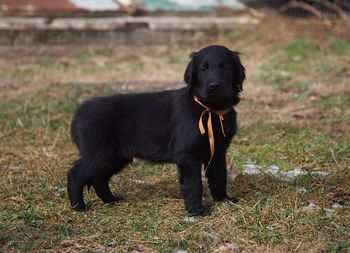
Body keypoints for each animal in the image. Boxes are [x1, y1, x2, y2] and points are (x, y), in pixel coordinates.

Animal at [67, 45, 245, 215]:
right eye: (203, 69)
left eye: (225, 67)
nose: (214, 86)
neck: (211, 109)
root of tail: (79, 112)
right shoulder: (187, 155)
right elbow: (194, 184)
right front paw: (196, 210)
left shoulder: (218, 151)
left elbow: (219, 177)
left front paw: (224, 200)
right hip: (99, 153)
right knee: (76, 174)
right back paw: (78, 206)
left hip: (115, 157)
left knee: (99, 178)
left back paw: (110, 199)